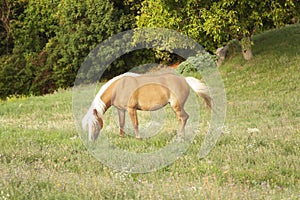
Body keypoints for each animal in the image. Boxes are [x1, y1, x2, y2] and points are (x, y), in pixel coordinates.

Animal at [82, 72, 211, 141]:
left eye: (95, 124)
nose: (91, 141)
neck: (118, 87)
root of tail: (184, 79)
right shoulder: (121, 110)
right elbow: (121, 123)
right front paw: (121, 137)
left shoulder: (131, 109)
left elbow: (135, 124)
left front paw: (138, 138)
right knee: (182, 119)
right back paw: (181, 136)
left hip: (176, 105)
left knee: (183, 118)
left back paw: (179, 138)